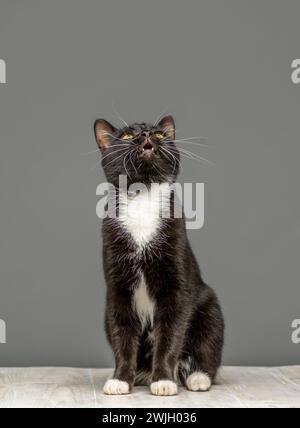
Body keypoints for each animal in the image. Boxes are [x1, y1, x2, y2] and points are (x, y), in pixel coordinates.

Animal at [94, 115, 225, 396]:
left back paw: (197, 378)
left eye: (160, 134)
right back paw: (141, 374)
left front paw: (163, 380)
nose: (146, 134)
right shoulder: (117, 285)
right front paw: (120, 379)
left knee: (207, 346)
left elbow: (170, 333)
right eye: (126, 136)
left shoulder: (175, 282)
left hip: (210, 308)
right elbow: (122, 334)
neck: (142, 198)